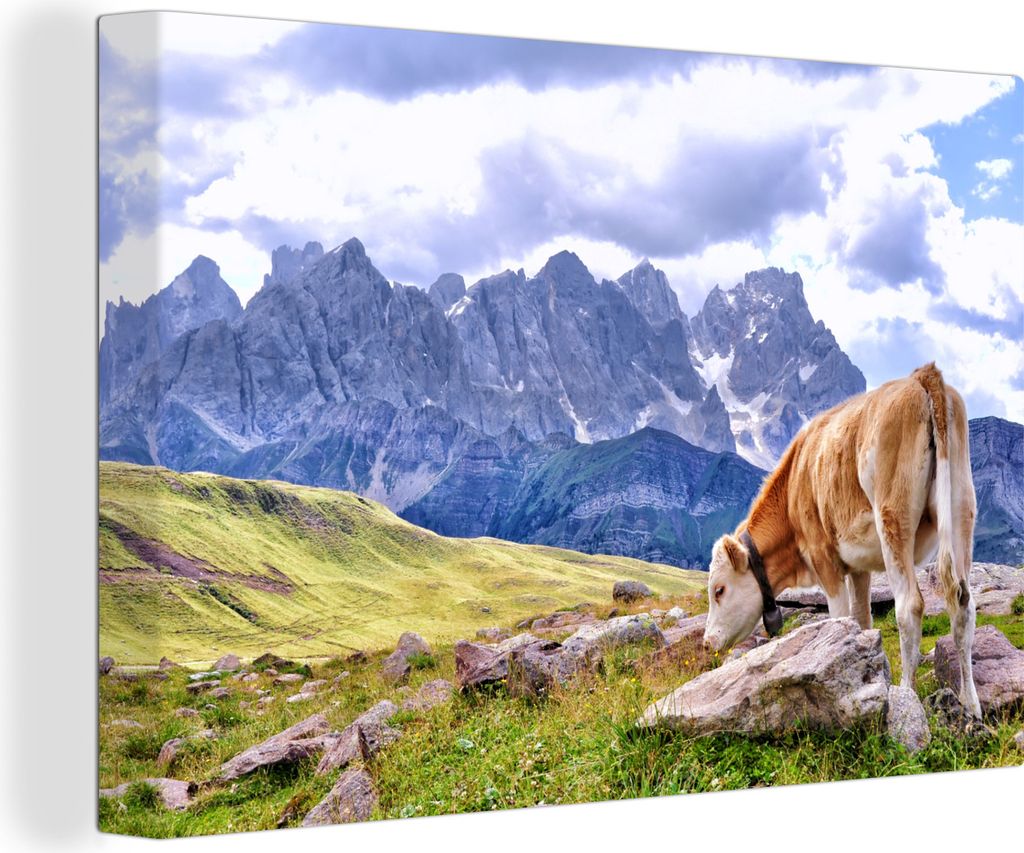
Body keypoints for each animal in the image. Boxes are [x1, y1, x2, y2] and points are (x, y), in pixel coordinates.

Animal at [703, 363, 981, 718]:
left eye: (719, 590)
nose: (707, 642)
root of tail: (922, 376)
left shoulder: (823, 556)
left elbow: (839, 619)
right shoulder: (858, 566)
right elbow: (862, 620)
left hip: (893, 516)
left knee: (910, 606)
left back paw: (906, 694)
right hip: (962, 507)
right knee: (963, 604)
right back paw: (971, 704)